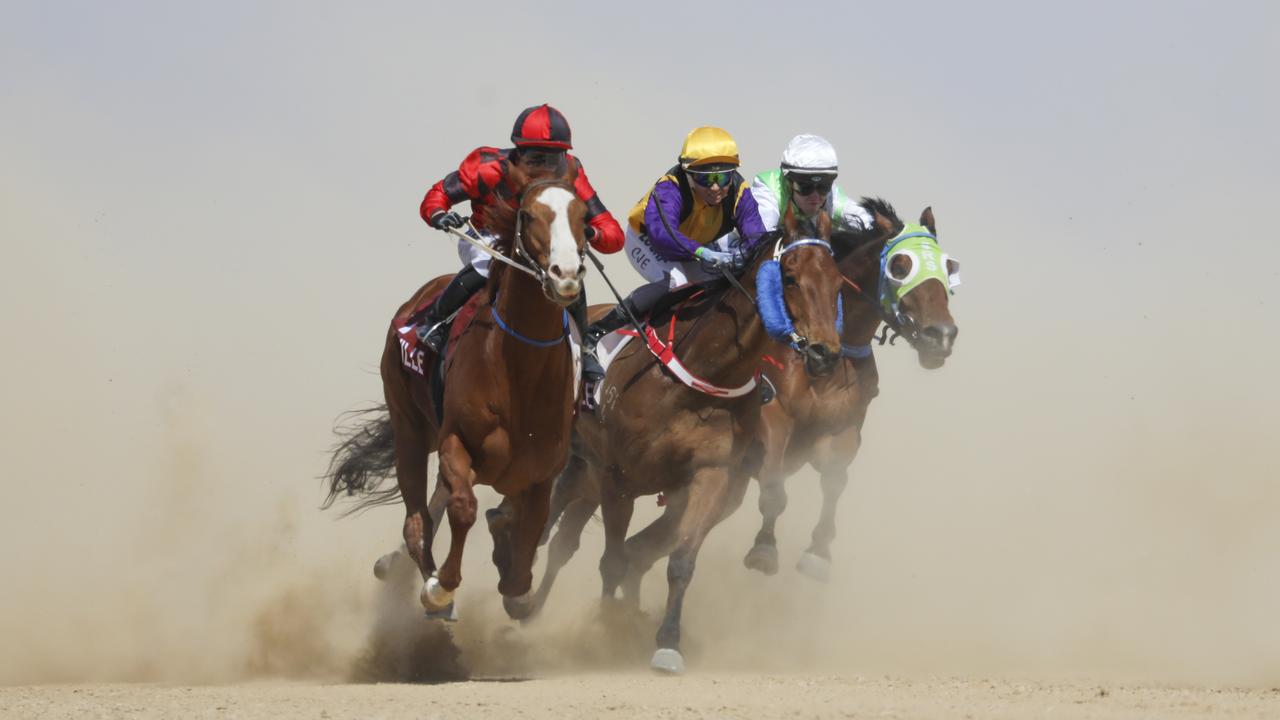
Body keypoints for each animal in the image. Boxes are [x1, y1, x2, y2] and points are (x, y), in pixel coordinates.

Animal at [327, 162, 591, 617]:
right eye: (527, 215)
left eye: (584, 218)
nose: (566, 275)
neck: (518, 376)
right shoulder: (456, 441)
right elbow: (464, 509)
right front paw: (440, 587)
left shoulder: (541, 471)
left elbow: (527, 532)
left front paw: (516, 585)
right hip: (411, 428)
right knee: (418, 517)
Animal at [532, 207, 844, 671]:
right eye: (788, 277)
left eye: (838, 282)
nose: (826, 354)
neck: (698, 377)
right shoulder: (619, 479)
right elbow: (612, 560)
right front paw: (608, 630)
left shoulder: (712, 473)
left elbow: (678, 561)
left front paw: (665, 642)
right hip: (578, 457)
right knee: (549, 521)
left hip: (589, 468)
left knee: (565, 534)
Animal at [742, 198, 962, 579]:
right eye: (900, 265)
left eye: (949, 267)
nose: (942, 336)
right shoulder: (771, 411)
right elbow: (772, 481)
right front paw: (764, 549)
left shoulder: (843, 427)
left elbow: (834, 481)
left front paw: (817, 553)